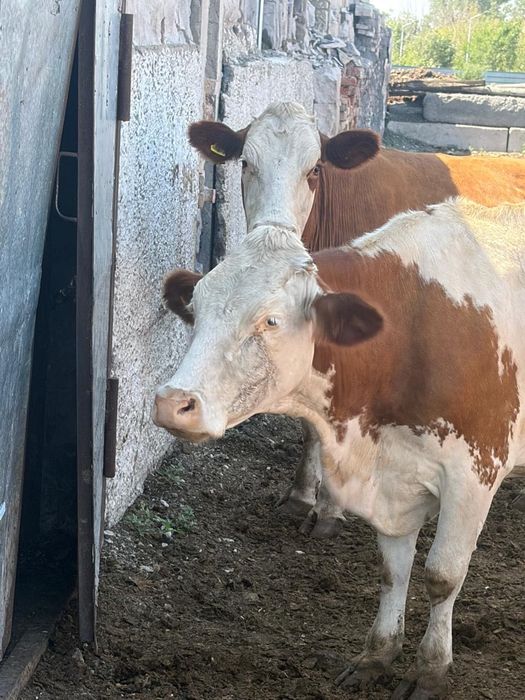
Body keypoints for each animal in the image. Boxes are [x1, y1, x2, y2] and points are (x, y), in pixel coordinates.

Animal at [153, 198, 525, 698]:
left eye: (270, 320)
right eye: (195, 309)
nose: (172, 403)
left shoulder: (474, 475)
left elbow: (442, 576)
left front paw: (430, 671)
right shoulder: (393, 477)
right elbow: (393, 570)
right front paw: (378, 655)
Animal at [188, 102, 525, 537]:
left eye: (315, 169)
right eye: (246, 163)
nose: (275, 230)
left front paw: (329, 510)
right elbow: (311, 425)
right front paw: (301, 495)